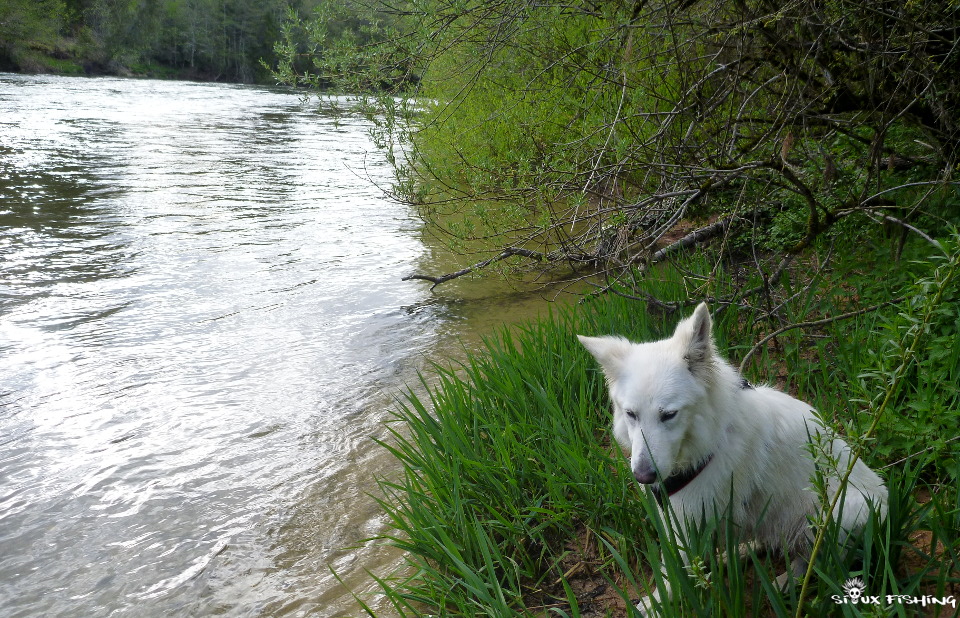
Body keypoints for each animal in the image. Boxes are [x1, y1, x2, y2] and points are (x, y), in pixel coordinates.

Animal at [576, 302, 884, 612]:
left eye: (669, 415)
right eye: (631, 414)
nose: (643, 476)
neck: (711, 440)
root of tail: (886, 499)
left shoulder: (688, 522)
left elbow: (672, 576)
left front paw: (655, 606)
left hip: (834, 516)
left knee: (812, 561)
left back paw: (785, 582)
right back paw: (737, 553)